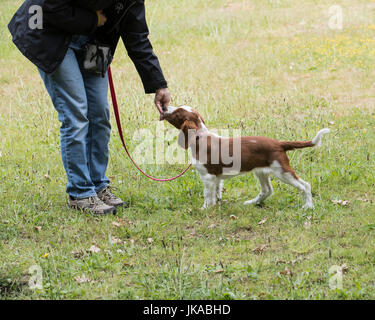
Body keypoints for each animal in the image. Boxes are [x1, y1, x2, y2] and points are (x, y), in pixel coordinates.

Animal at [164, 105, 328, 210]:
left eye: (177, 112)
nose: (165, 108)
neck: (201, 137)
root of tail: (279, 143)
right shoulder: (216, 177)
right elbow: (216, 191)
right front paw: (216, 204)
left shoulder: (208, 176)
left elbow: (207, 195)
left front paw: (205, 208)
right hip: (261, 171)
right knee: (267, 190)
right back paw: (253, 202)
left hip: (282, 171)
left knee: (305, 185)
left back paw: (309, 206)